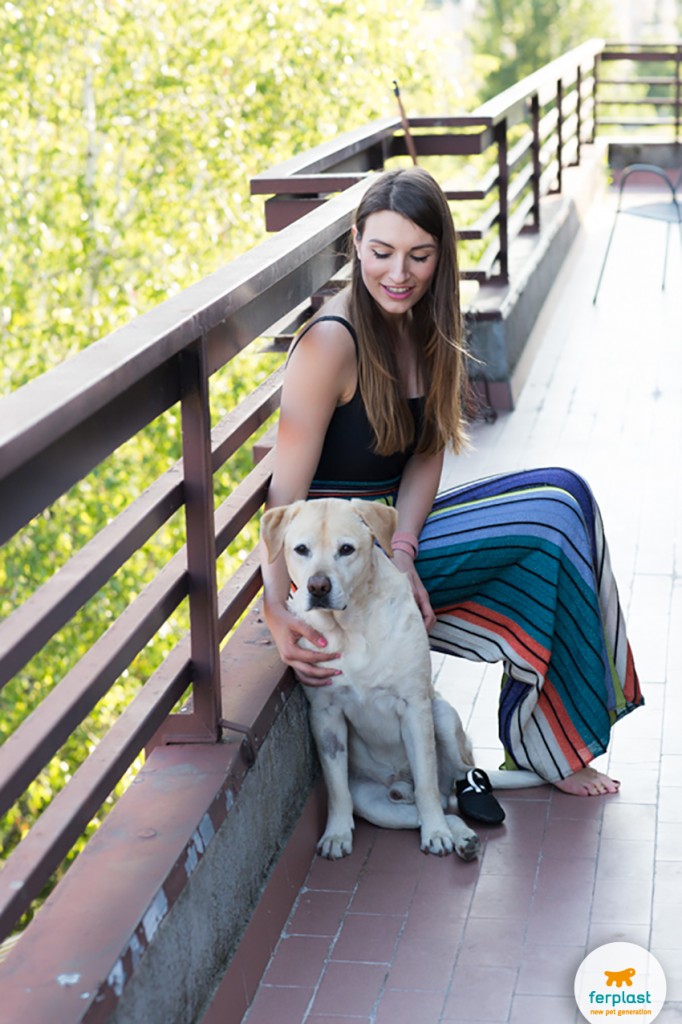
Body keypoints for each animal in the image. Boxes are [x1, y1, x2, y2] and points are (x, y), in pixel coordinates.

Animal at [258, 495, 481, 864]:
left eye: (346, 549)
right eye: (301, 549)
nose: (318, 586)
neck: (350, 627)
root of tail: (399, 783)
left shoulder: (415, 708)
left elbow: (426, 784)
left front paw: (435, 833)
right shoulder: (326, 717)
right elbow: (336, 789)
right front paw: (336, 833)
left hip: (443, 719)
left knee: (449, 789)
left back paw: (453, 830)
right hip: (377, 806)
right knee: (430, 810)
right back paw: (461, 837)